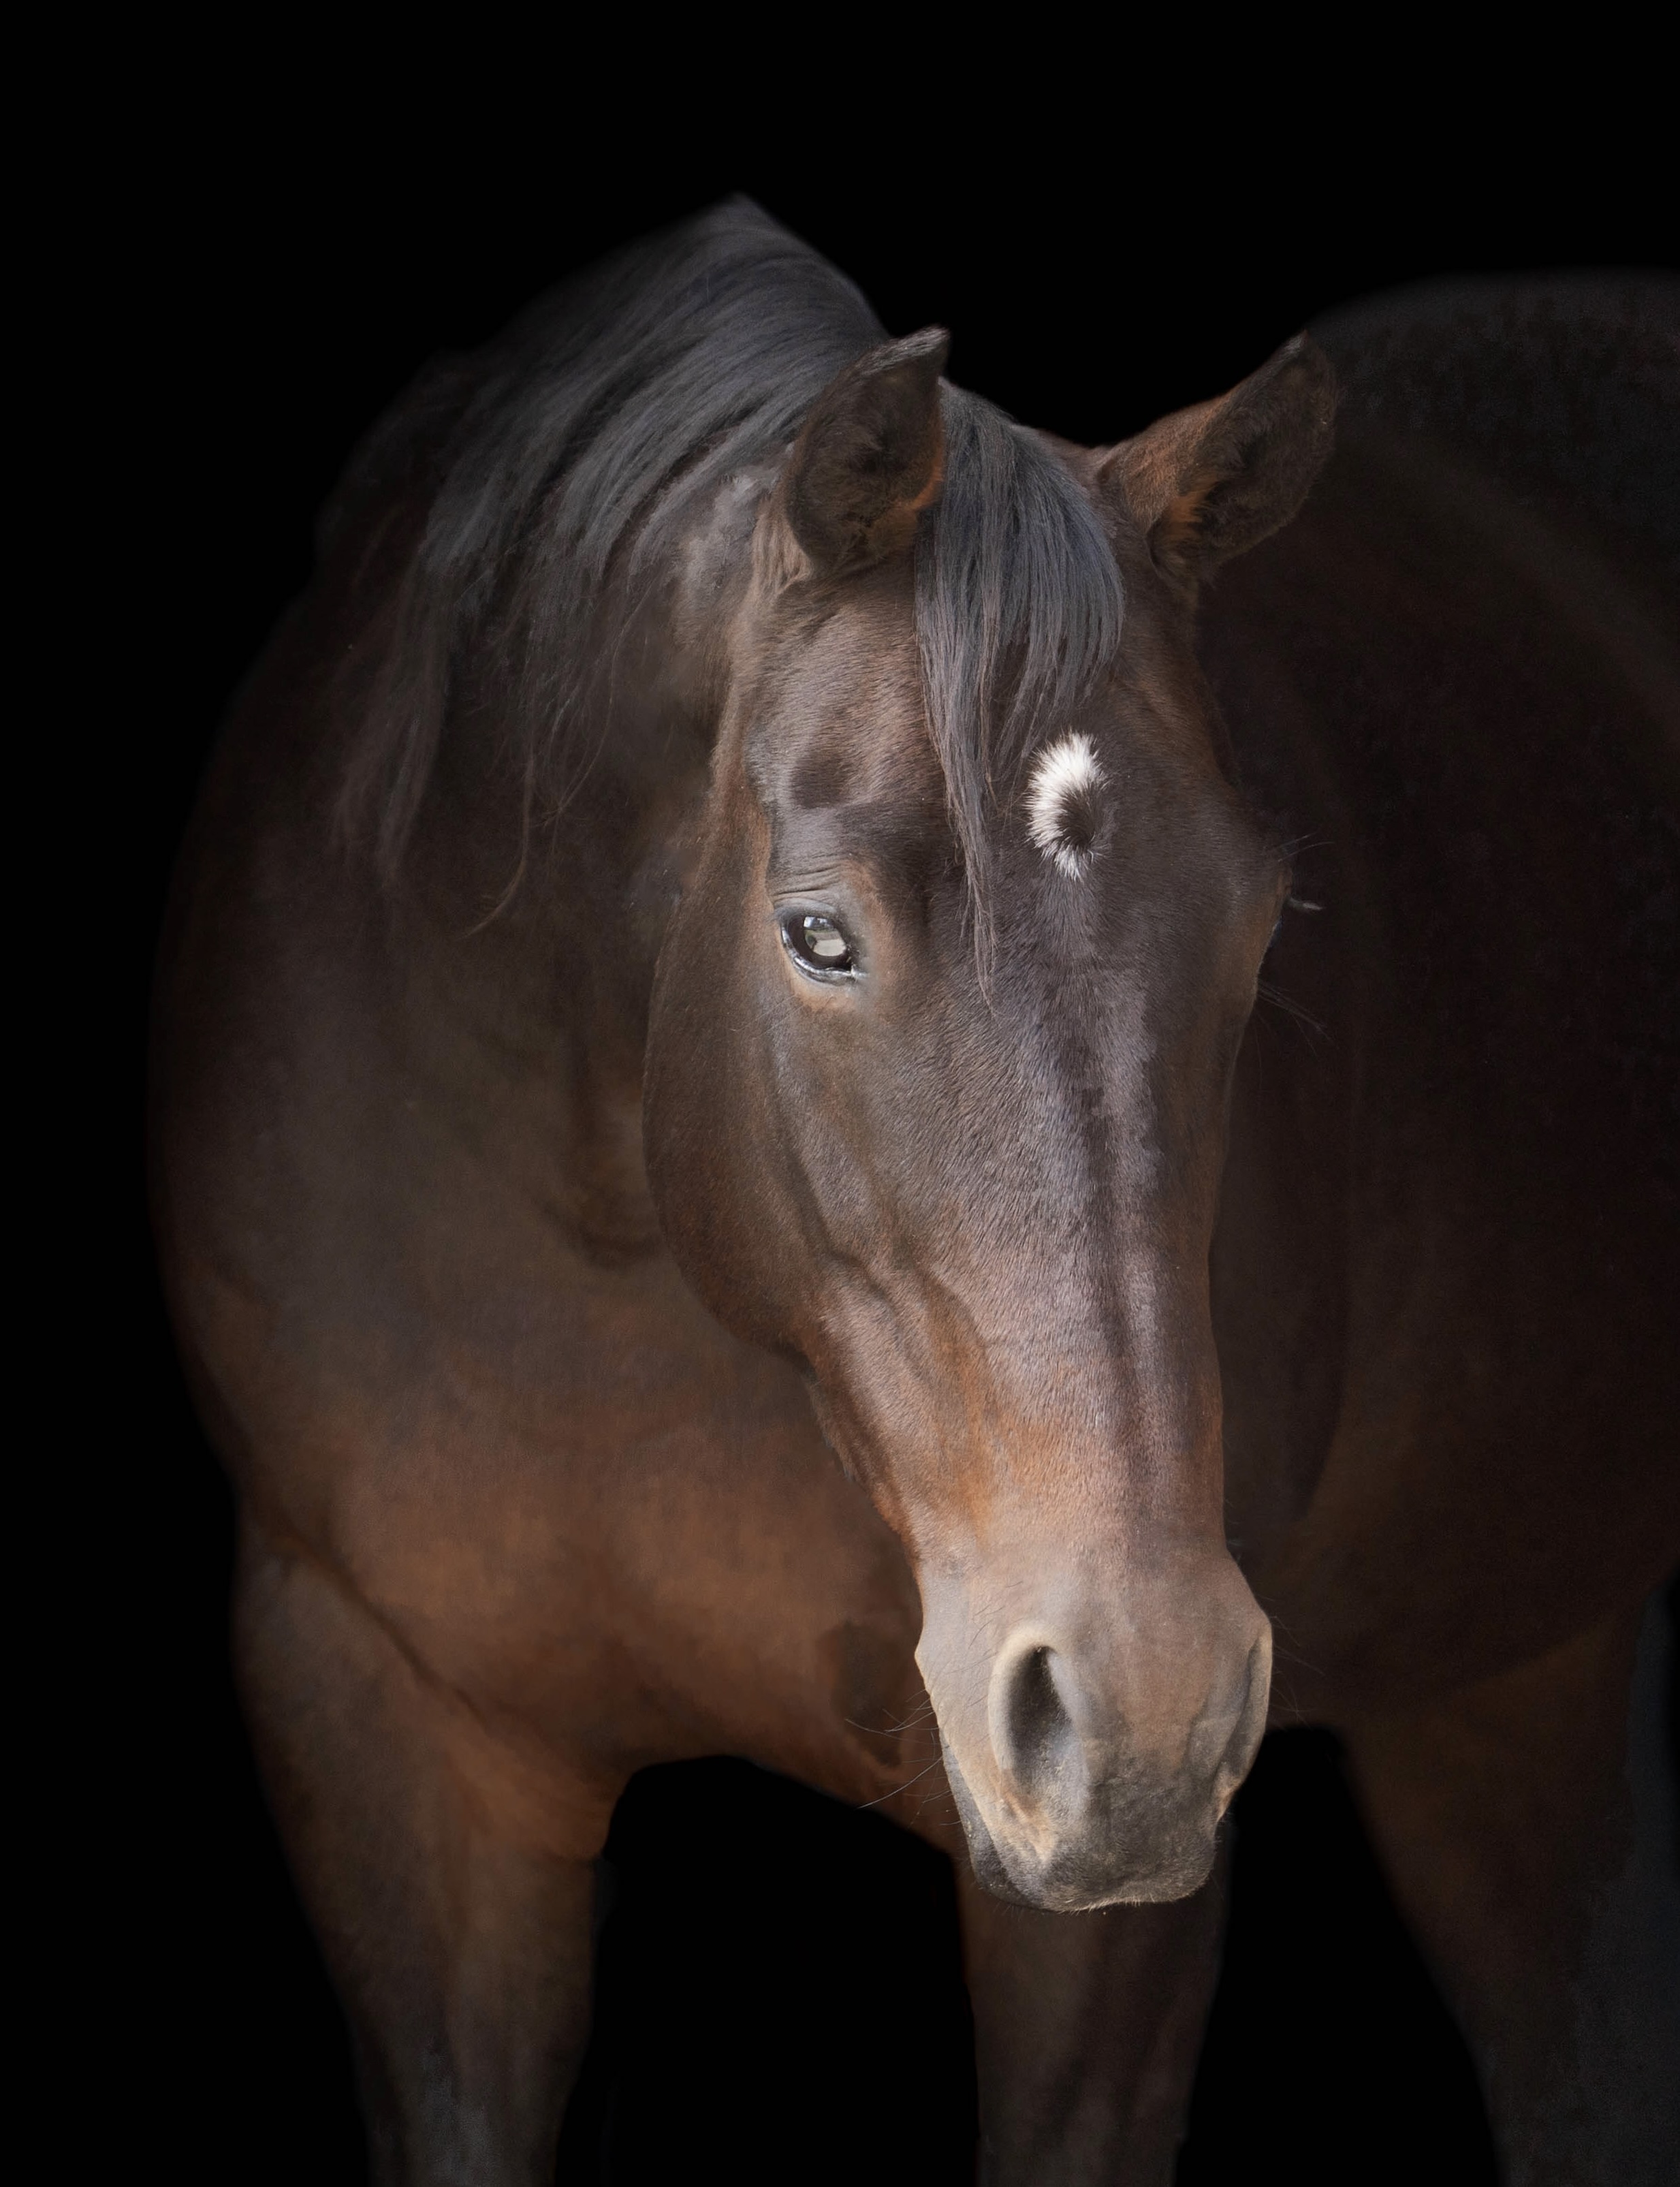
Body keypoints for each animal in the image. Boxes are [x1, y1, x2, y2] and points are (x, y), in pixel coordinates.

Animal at [151, 201, 1679, 2184]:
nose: (1145, 1703)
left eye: (1256, 928)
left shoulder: (1093, 1909)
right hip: (1505, 1685)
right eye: (819, 932)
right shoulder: (385, 1732)